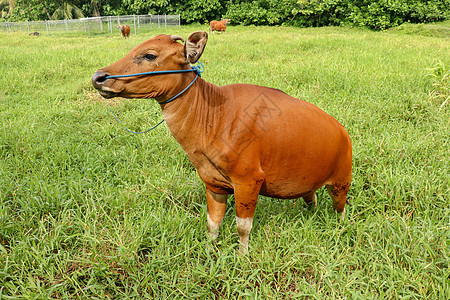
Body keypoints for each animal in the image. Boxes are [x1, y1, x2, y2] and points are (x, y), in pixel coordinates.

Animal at [91, 31, 352, 254]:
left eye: (149, 55)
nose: (98, 77)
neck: (215, 117)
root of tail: (342, 132)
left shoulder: (248, 182)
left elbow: (243, 227)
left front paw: (243, 256)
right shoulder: (213, 184)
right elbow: (212, 224)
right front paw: (210, 250)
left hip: (341, 181)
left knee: (340, 209)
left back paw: (340, 229)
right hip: (309, 184)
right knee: (312, 198)